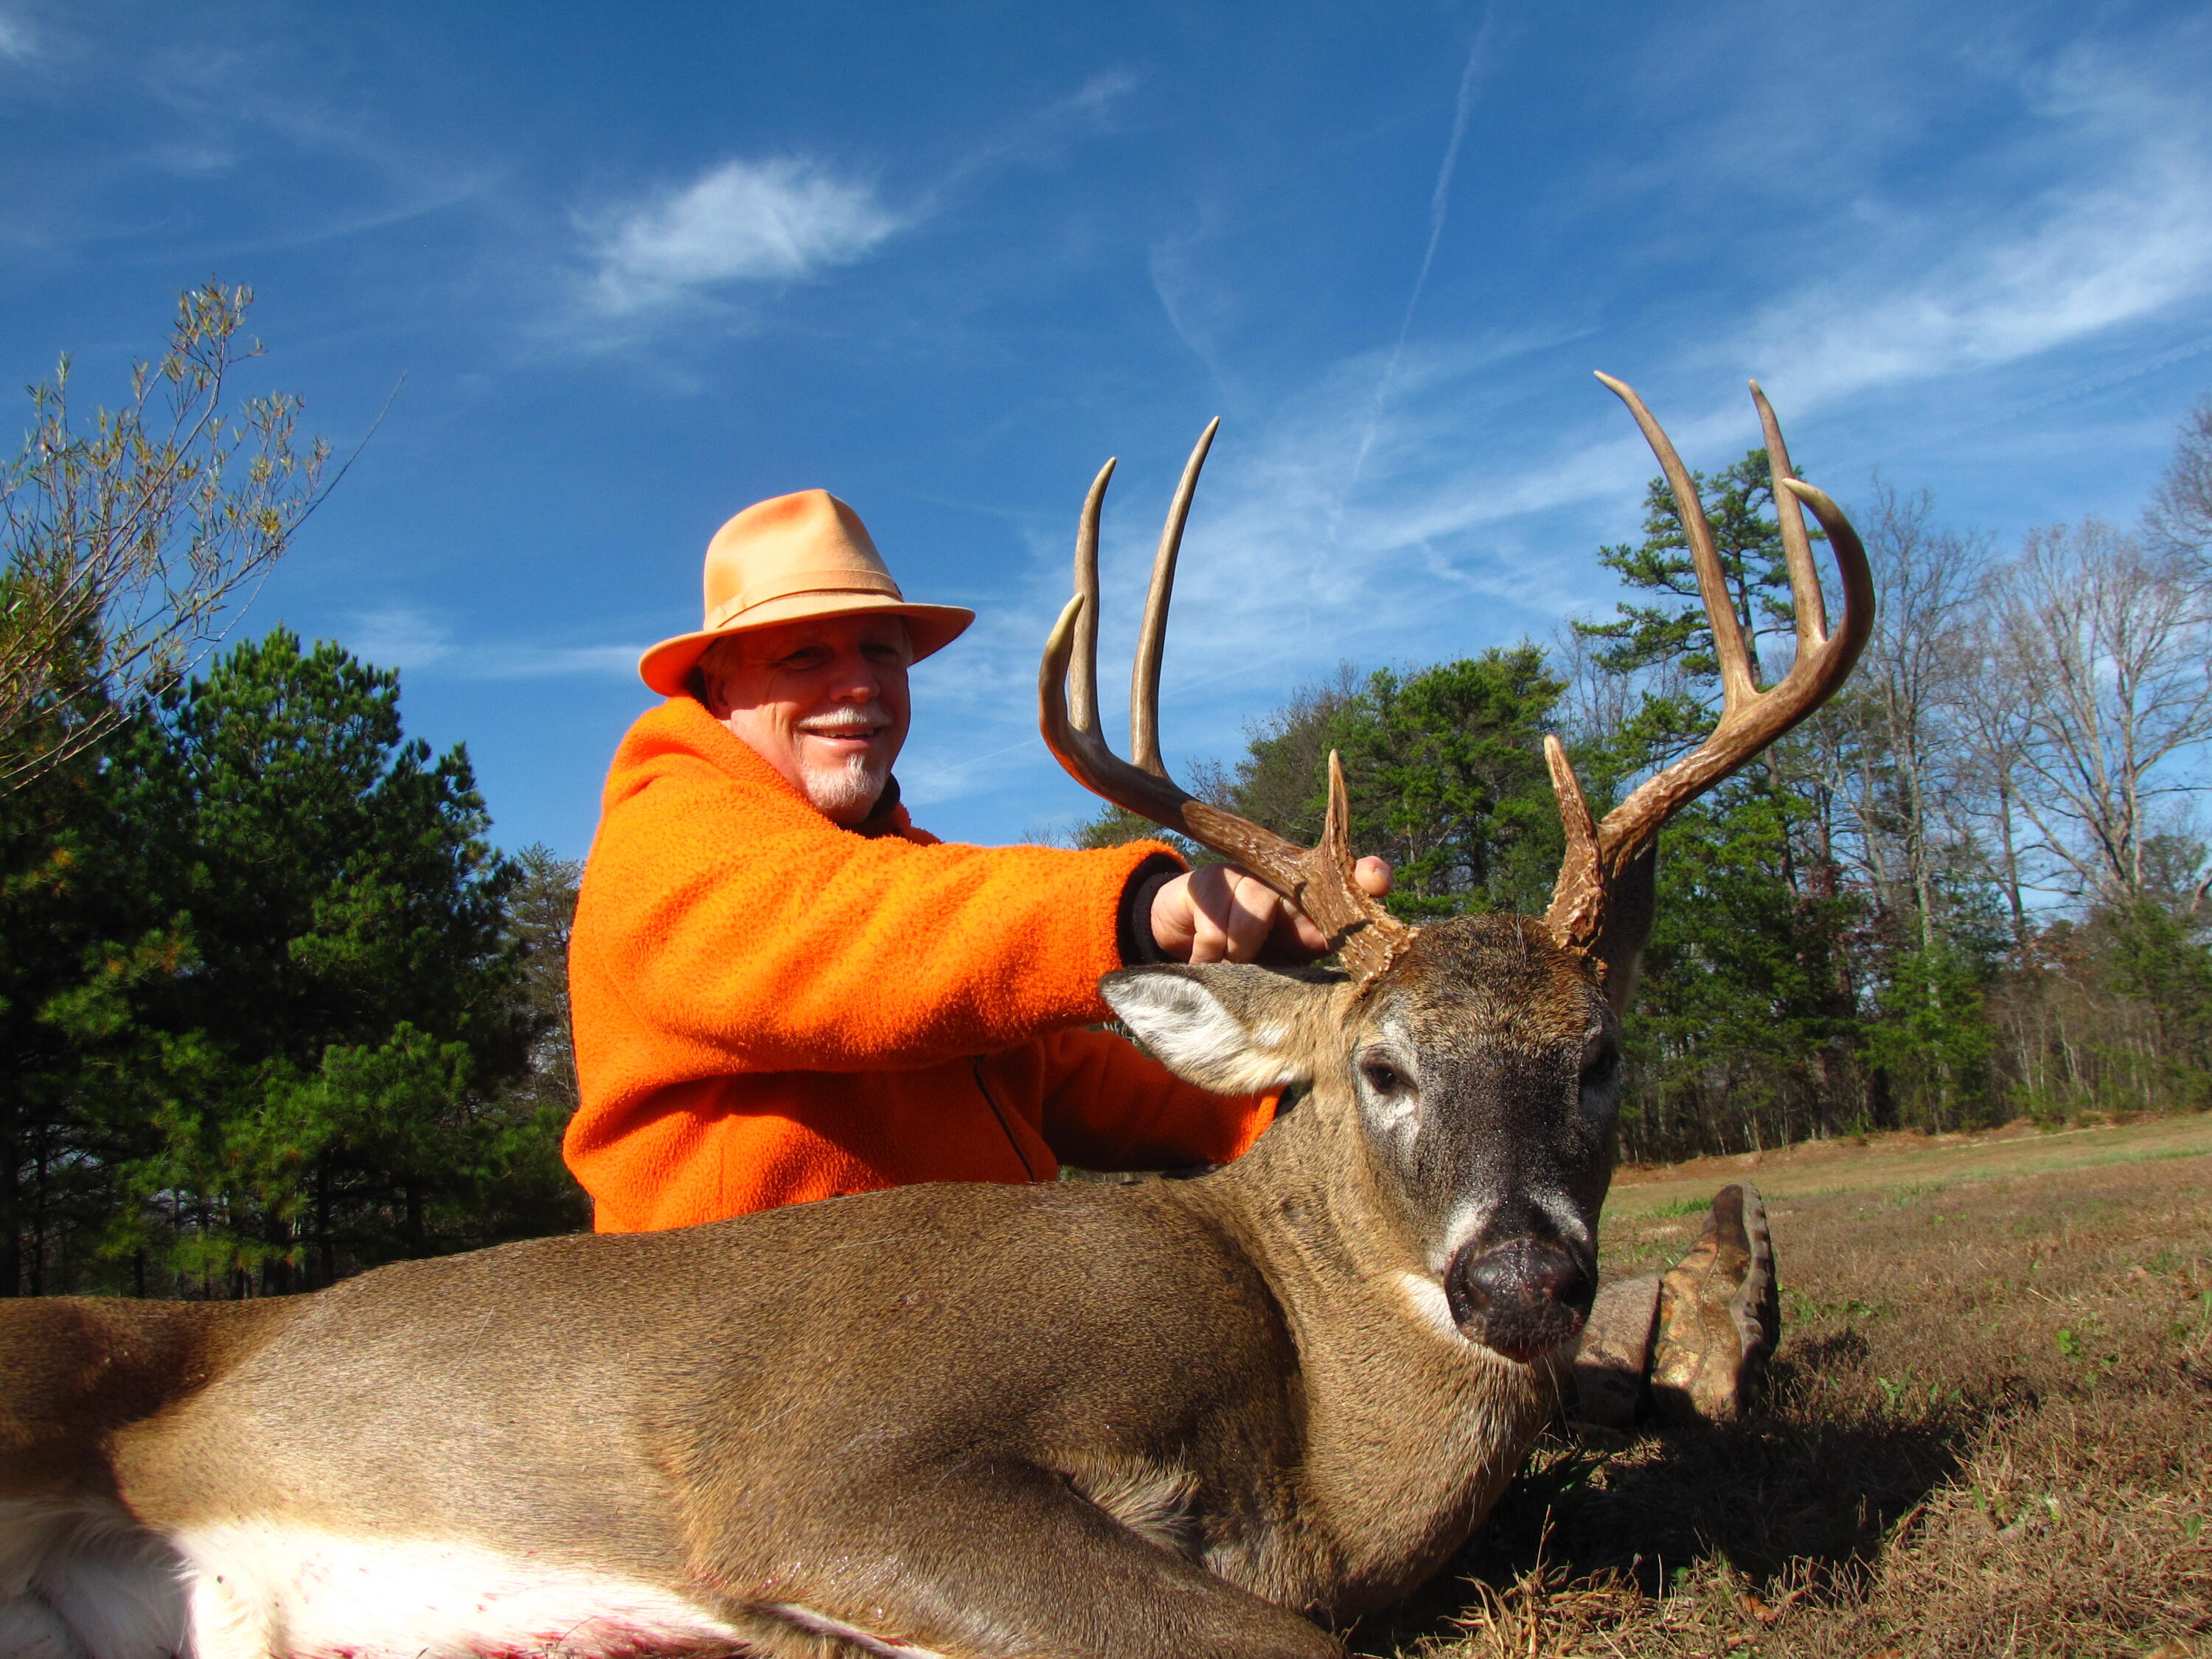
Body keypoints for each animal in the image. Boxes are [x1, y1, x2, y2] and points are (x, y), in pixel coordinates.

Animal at [0, 375, 1870, 1659]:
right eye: (1379, 1067)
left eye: (1600, 1054)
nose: (1524, 1279)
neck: (1316, 1454)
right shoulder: (831, 1459)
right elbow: (1277, 1639)